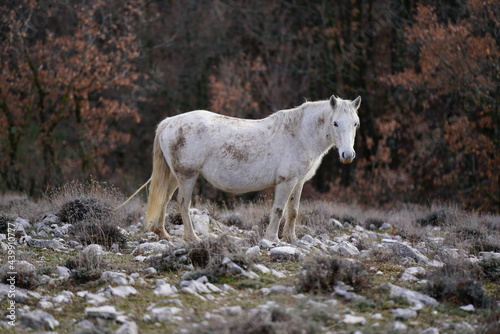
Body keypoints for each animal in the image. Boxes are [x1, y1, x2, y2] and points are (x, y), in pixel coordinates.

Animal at [123, 95, 362, 241]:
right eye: (335, 123)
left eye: (356, 123)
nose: (348, 156)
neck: (300, 135)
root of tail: (168, 122)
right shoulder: (286, 181)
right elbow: (279, 209)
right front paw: (272, 238)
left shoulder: (298, 182)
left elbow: (293, 211)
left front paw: (291, 238)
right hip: (187, 176)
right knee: (183, 203)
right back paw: (192, 238)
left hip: (175, 176)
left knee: (164, 199)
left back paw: (163, 234)